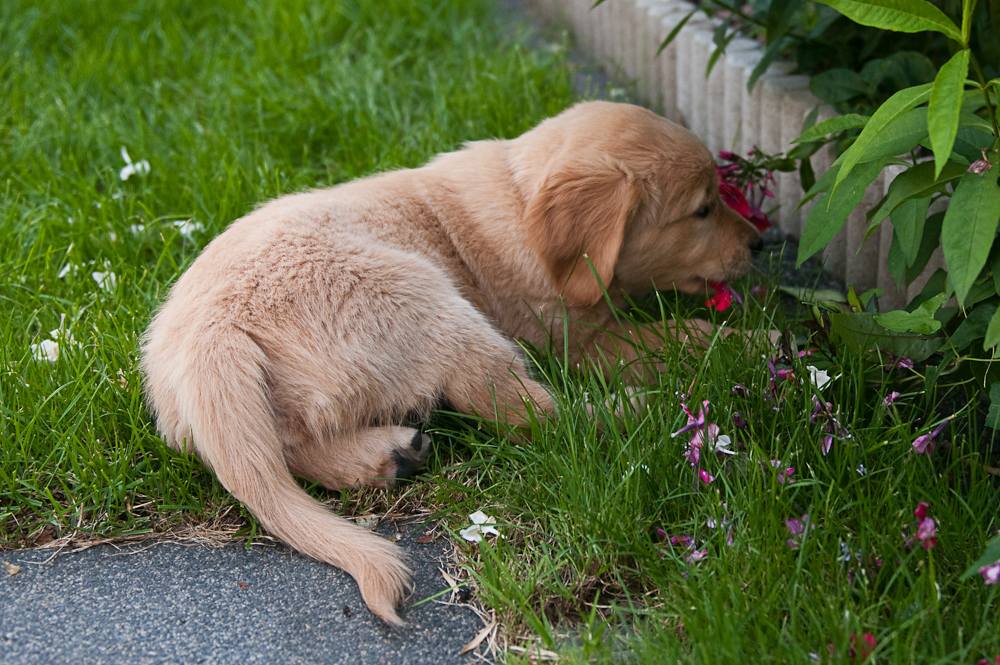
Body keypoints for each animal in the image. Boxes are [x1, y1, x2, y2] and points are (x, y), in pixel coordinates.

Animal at [141, 101, 756, 624]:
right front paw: (750, 343)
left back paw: (387, 456)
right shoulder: (578, 336)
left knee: (283, 445)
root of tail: (213, 337)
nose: (760, 244)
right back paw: (636, 411)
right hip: (424, 295)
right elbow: (676, 337)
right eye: (703, 209)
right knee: (528, 413)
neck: (518, 198)